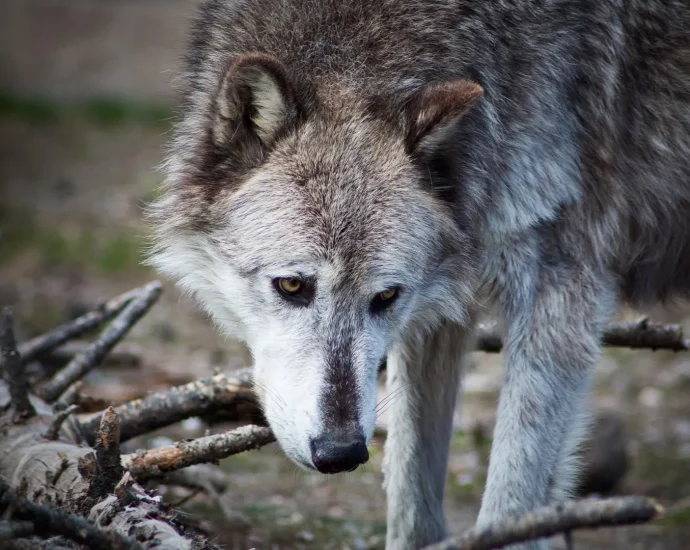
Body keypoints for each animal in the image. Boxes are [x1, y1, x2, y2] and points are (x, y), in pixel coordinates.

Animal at [147, 0, 690, 548]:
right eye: (292, 285)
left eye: (386, 296)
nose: (341, 453)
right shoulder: (439, 316)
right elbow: (411, 498)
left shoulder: (560, 293)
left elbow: (508, 508)